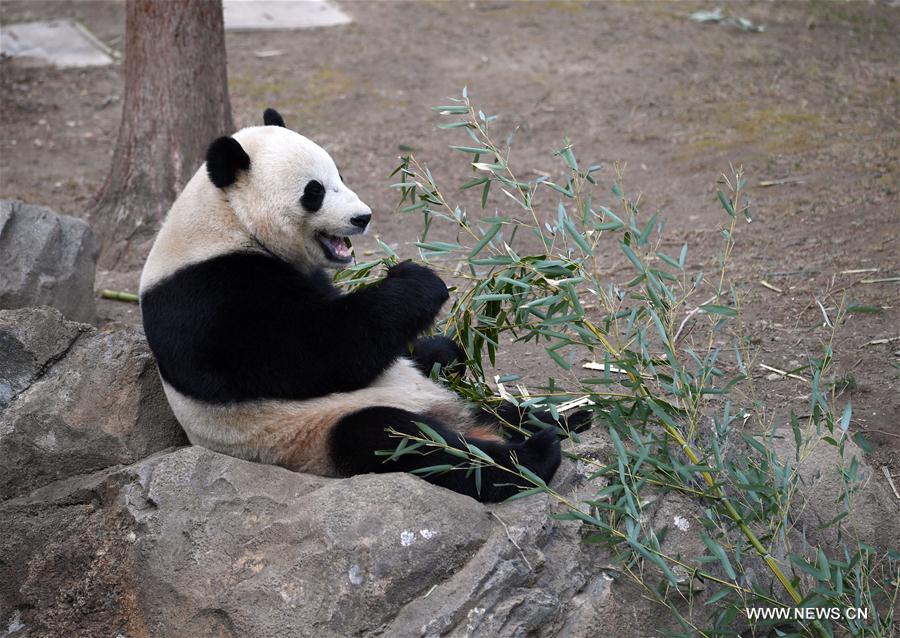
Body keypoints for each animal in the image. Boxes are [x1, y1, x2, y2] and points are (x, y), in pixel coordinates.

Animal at [139, 108, 590, 502]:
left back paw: (563, 418)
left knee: (459, 376)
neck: (226, 219)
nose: (363, 217)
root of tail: (458, 418)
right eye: (314, 191)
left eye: (340, 174)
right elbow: (320, 351)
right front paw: (418, 280)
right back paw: (532, 455)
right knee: (401, 441)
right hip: (313, 434)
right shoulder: (209, 300)